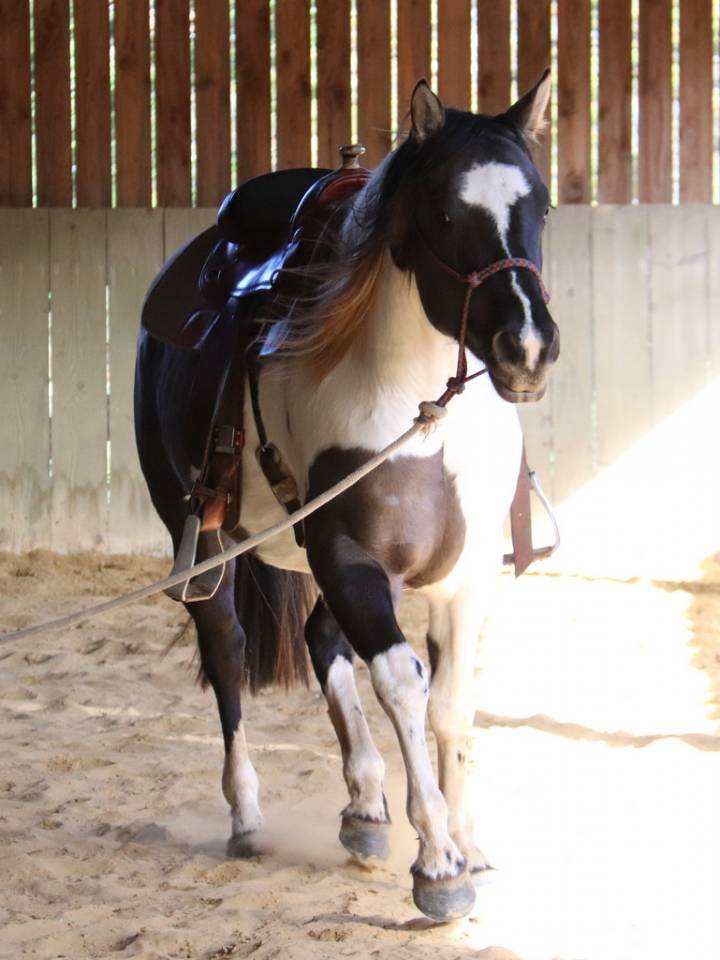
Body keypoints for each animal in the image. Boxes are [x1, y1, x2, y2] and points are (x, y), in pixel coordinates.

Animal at [134, 72, 559, 921]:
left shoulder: (464, 576)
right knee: (228, 649)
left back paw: (364, 807)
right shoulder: (349, 555)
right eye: (444, 212)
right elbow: (401, 682)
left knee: (321, 641)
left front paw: (467, 842)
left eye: (541, 206)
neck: (423, 413)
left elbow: (451, 702)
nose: (526, 349)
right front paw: (439, 866)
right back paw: (248, 816)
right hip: (207, 545)